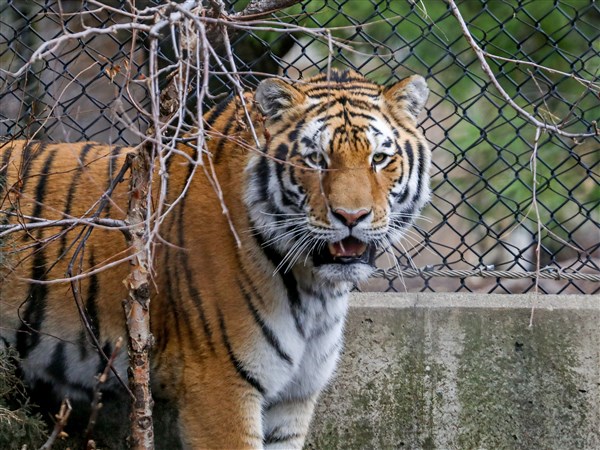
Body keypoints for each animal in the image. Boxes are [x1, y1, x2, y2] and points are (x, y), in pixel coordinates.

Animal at [0, 68, 432, 448]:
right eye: (315, 159)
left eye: (379, 159)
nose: (351, 217)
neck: (316, 290)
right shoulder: (219, 385)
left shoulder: (294, 397)